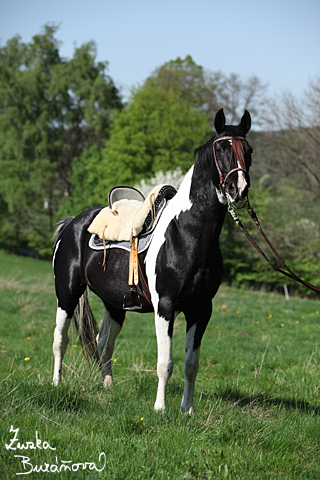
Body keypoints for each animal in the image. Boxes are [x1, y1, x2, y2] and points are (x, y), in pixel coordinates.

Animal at [52, 109, 252, 412]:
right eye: (221, 149)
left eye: (248, 150)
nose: (238, 188)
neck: (186, 234)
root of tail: (72, 223)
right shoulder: (165, 306)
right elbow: (165, 363)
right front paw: (160, 408)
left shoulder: (201, 309)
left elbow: (191, 364)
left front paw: (187, 410)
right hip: (67, 293)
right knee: (60, 339)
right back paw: (55, 384)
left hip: (114, 304)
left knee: (103, 343)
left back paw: (107, 387)